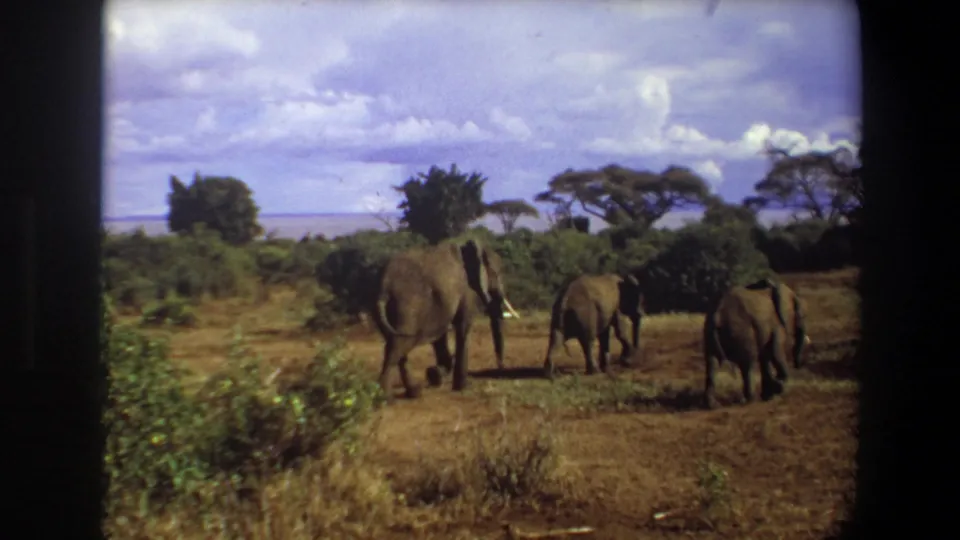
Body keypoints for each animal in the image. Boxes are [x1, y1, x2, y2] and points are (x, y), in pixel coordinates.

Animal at [372, 238, 520, 399]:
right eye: (497, 274)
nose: (501, 368)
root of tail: (383, 288)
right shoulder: (467, 290)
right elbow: (463, 328)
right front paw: (462, 387)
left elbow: (440, 336)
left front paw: (435, 373)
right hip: (407, 305)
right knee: (396, 346)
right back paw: (385, 399)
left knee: (396, 344)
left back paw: (414, 392)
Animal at [702, 278, 811, 409]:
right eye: (802, 316)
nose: (797, 365)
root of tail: (717, 314)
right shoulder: (776, 324)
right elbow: (776, 353)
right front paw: (777, 387)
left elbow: (765, 357)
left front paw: (769, 395)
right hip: (742, 330)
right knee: (748, 362)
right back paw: (751, 400)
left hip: (709, 332)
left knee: (711, 363)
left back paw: (712, 405)